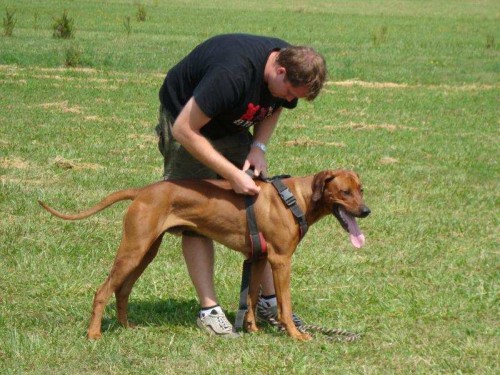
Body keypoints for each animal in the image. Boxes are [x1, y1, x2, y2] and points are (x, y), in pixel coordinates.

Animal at [39, 170, 370, 340]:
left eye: (361, 190)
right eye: (345, 192)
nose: (366, 211)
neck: (296, 199)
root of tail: (143, 191)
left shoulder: (259, 257)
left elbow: (251, 297)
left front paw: (250, 328)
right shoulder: (280, 260)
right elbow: (285, 306)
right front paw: (295, 334)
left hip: (146, 251)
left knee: (123, 289)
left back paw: (125, 325)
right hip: (133, 249)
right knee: (103, 290)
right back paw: (94, 333)